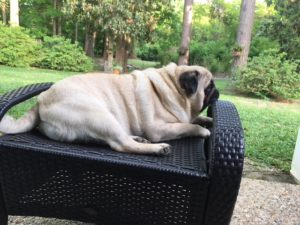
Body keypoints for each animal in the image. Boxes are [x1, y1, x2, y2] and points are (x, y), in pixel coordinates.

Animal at [0, 62, 220, 155]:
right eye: (209, 87)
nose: (217, 91)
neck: (173, 85)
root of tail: (40, 101)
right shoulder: (158, 129)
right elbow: (186, 126)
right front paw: (203, 130)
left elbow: (193, 119)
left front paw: (207, 120)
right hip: (99, 115)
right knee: (121, 144)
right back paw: (156, 148)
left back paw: (139, 138)